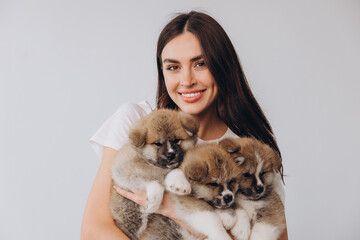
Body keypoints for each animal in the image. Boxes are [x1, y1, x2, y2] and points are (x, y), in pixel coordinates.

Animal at [110, 109, 198, 240]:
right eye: (158, 144)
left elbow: (177, 170)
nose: (171, 155)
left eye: (177, 140)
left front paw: (180, 184)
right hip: (130, 213)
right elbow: (153, 178)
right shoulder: (123, 168)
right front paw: (154, 200)